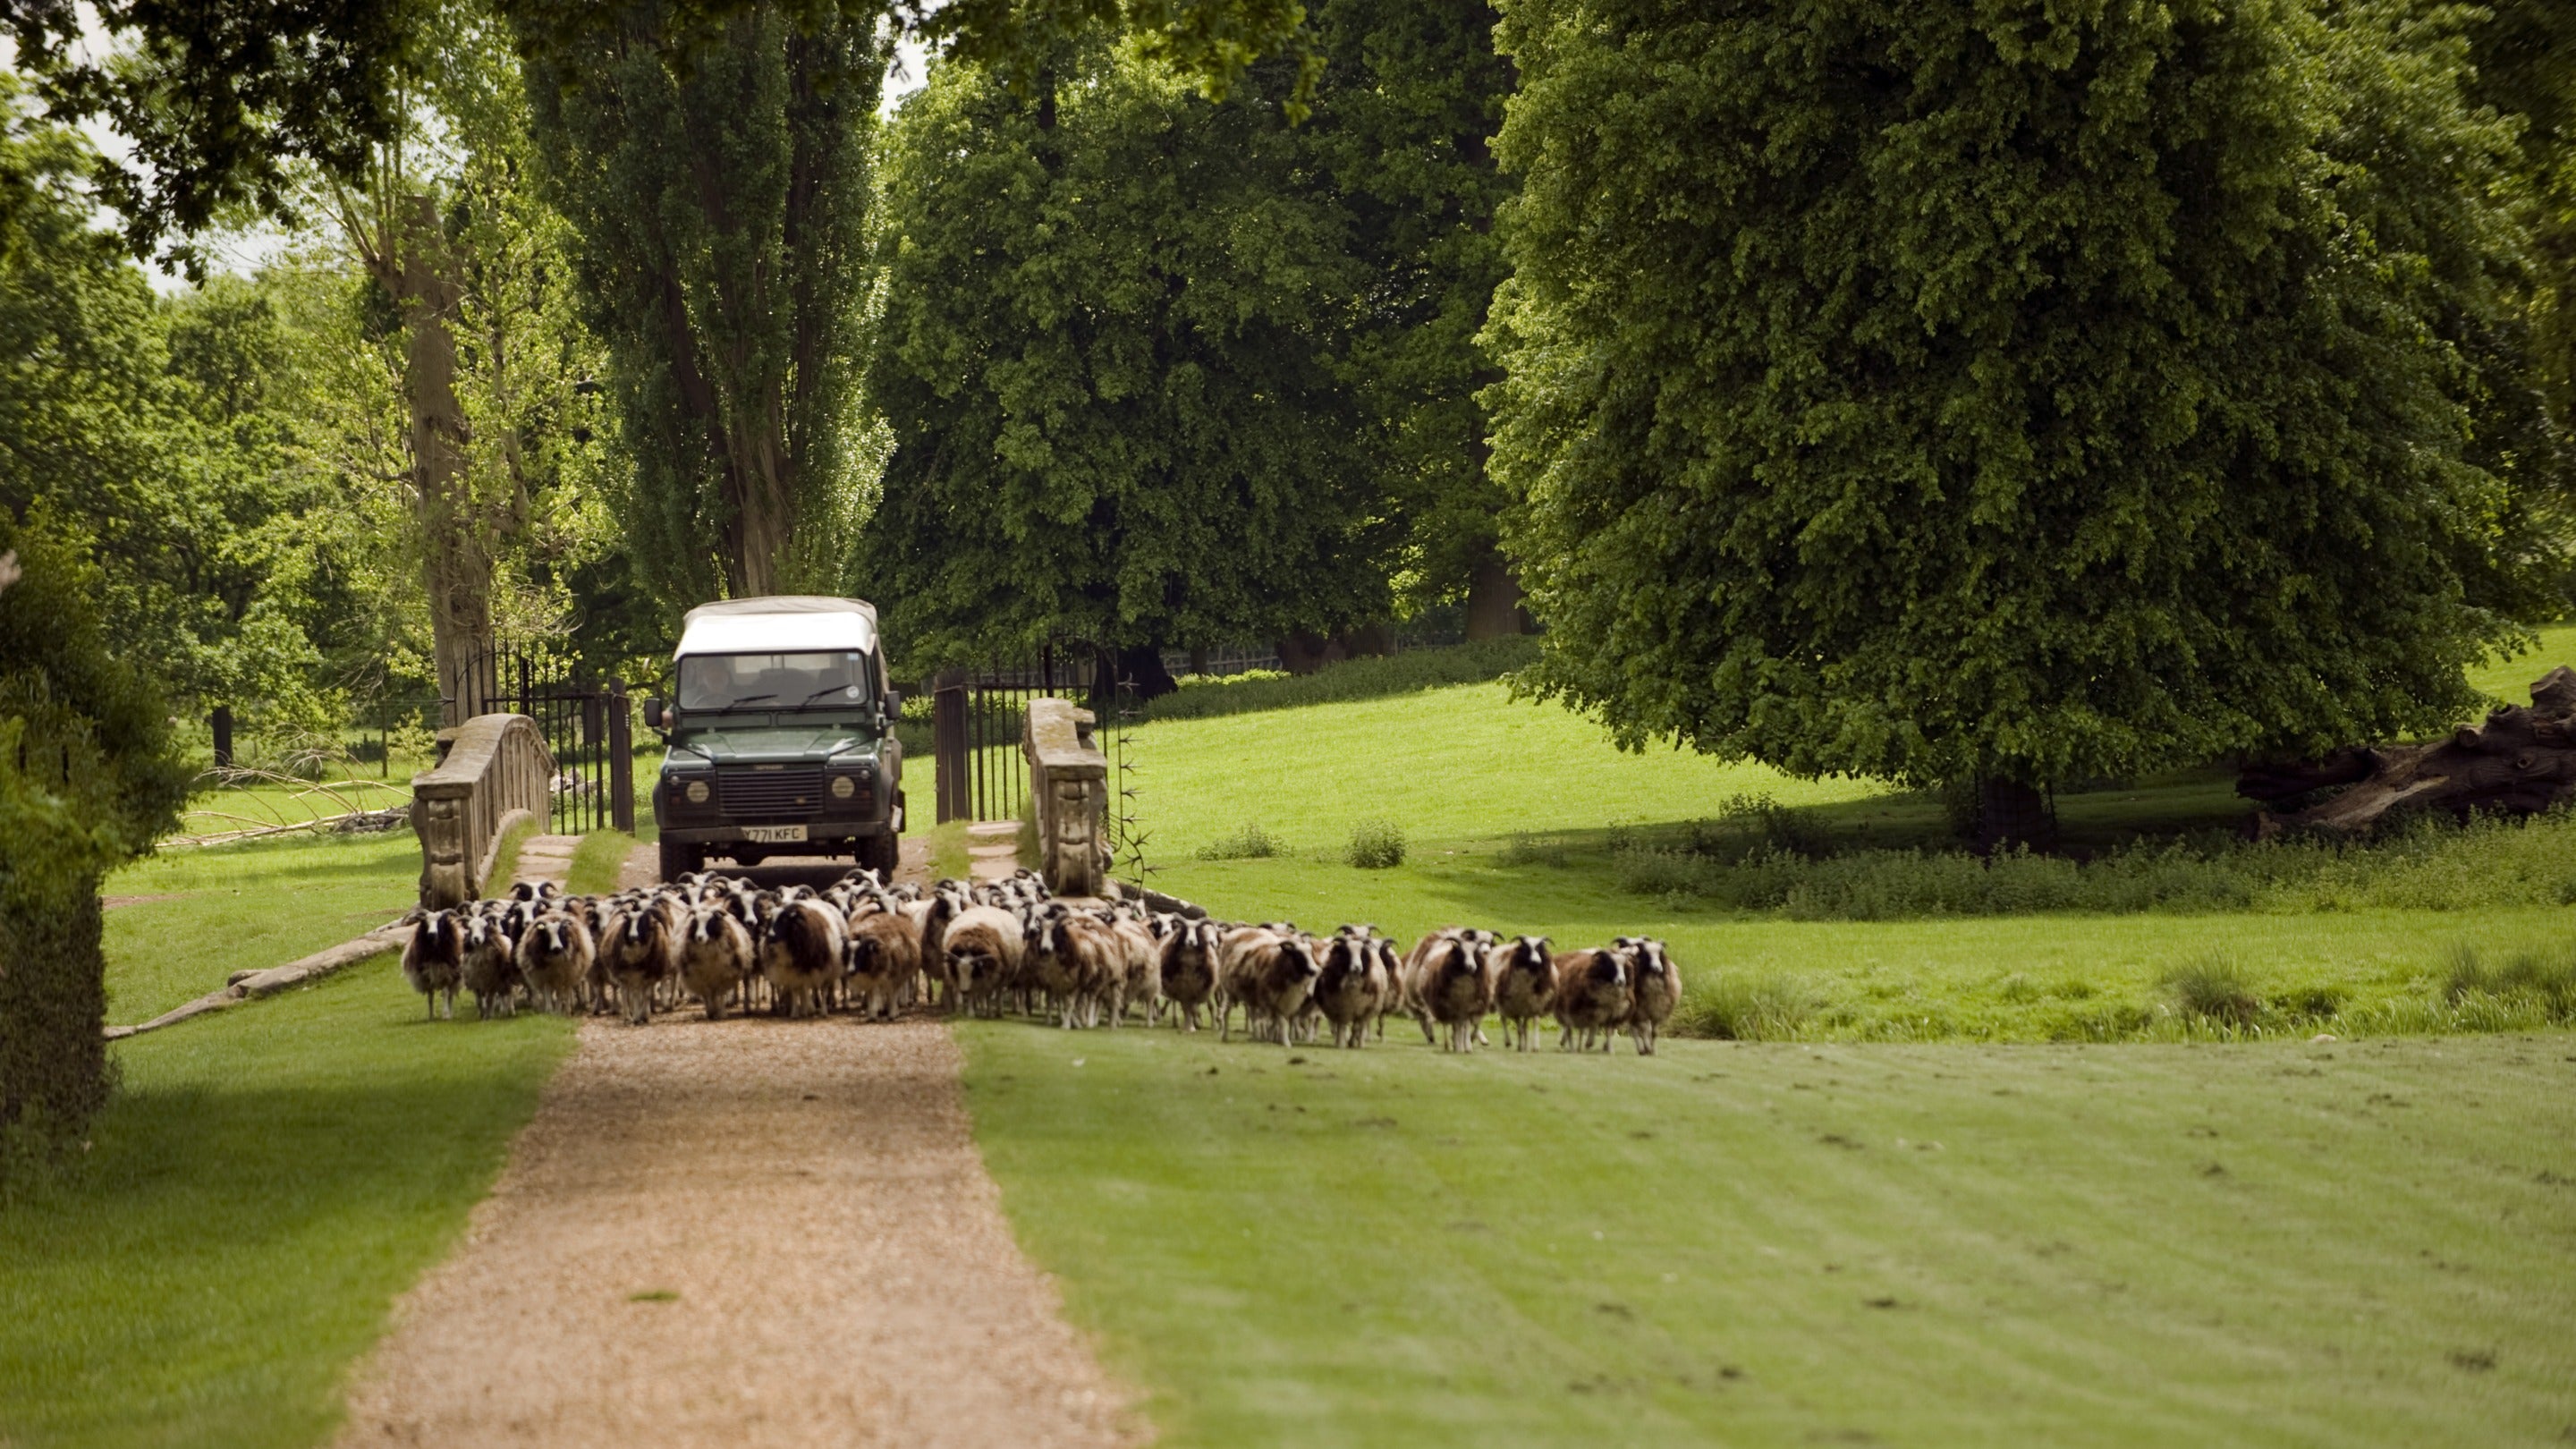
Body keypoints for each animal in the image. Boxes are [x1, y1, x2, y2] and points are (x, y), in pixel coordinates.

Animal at [760, 897, 845, 1020]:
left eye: (784, 920)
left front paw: (823, 1011)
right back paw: (806, 1009)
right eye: (770, 921)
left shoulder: (825, 969)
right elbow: (796, 991)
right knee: (804, 989)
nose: (770, 936)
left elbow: (823, 990)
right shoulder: (793, 971)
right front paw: (795, 1013)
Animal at [1487, 934, 1557, 1051]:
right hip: (1501, 1001)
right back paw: (1509, 1042)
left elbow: (1534, 1023)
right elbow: (1519, 1027)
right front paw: (1520, 1046)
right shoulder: (1515, 1006)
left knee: (1523, 1025)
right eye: (1526, 949)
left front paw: (1534, 1046)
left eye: (1539, 949)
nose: (1536, 962)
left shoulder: (1536, 1003)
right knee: (1503, 1019)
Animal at [1619, 935, 1682, 1055]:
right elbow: (1645, 1030)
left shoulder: (1658, 1010)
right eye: (1646, 954)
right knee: (1635, 1030)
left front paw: (1653, 1050)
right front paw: (1647, 1048)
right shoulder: (1641, 1010)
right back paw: (1642, 1049)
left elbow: (1654, 1032)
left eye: (1660, 953)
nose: (1657, 968)